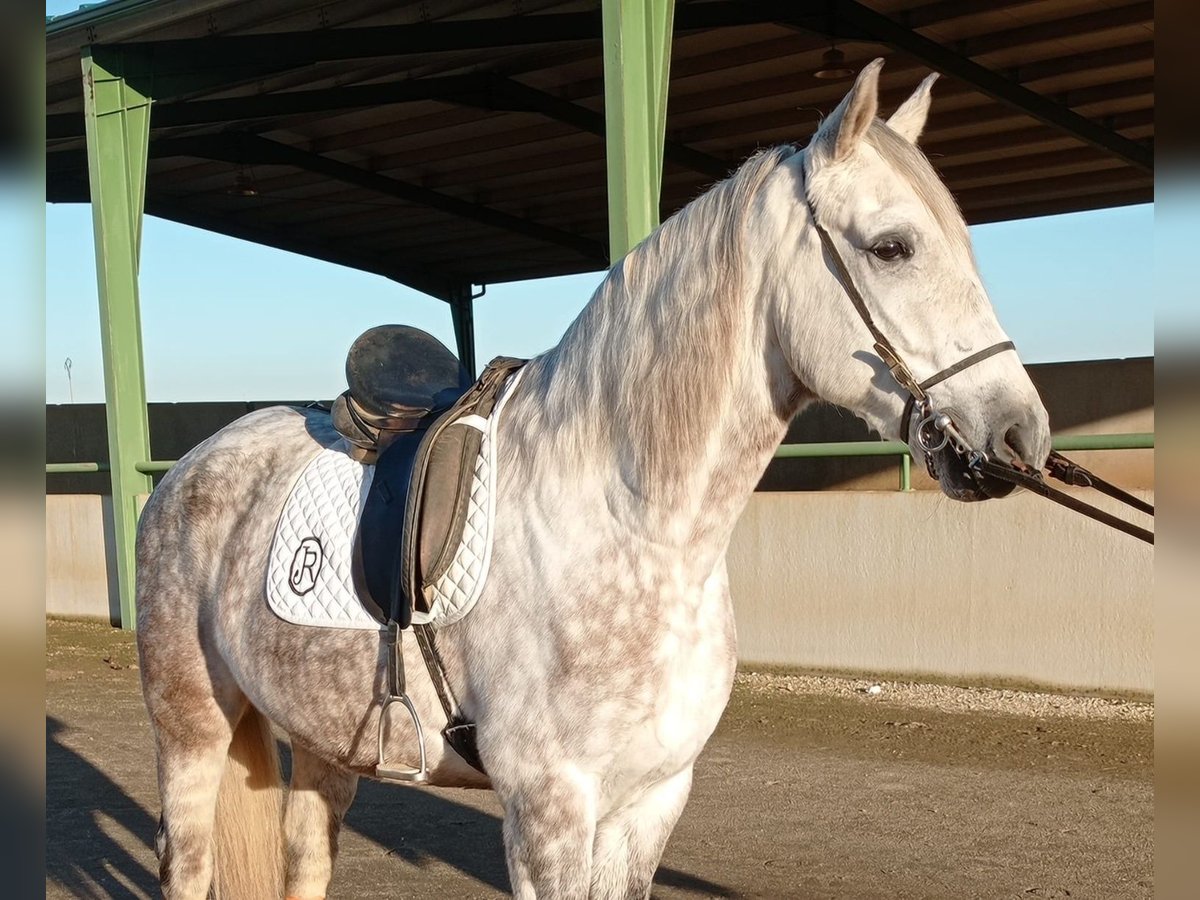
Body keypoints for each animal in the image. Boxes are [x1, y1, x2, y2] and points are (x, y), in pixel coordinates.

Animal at [136, 60, 1046, 897]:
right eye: (893, 247)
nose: (1019, 434)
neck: (632, 526)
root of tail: (187, 471)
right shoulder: (549, 809)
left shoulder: (652, 800)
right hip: (191, 729)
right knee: (186, 861)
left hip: (329, 738)